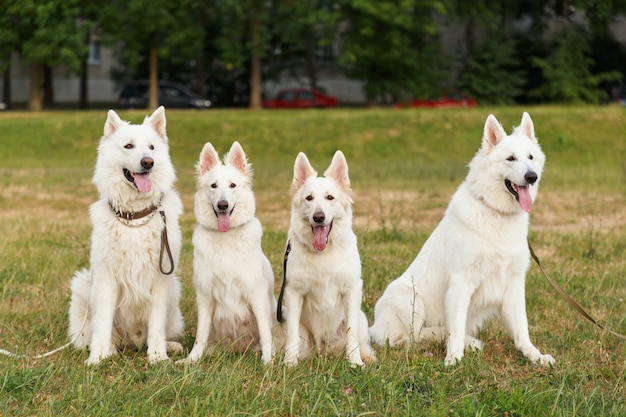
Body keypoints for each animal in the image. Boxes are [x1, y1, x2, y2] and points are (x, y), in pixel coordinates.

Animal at [70, 106, 184, 364]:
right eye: (129, 146)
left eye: (151, 147)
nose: (148, 162)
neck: (135, 218)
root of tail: (132, 341)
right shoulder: (105, 279)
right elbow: (102, 324)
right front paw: (97, 358)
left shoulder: (160, 280)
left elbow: (157, 326)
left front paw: (158, 357)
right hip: (83, 285)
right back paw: (109, 349)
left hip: (174, 290)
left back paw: (170, 346)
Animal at [176, 141, 272, 362]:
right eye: (213, 186)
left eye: (232, 185)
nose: (222, 205)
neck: (225, 237)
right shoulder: (205, 295)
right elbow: (200, 335)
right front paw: (192, 359)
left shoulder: (257, 294)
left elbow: (265, 332)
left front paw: (268, 360)